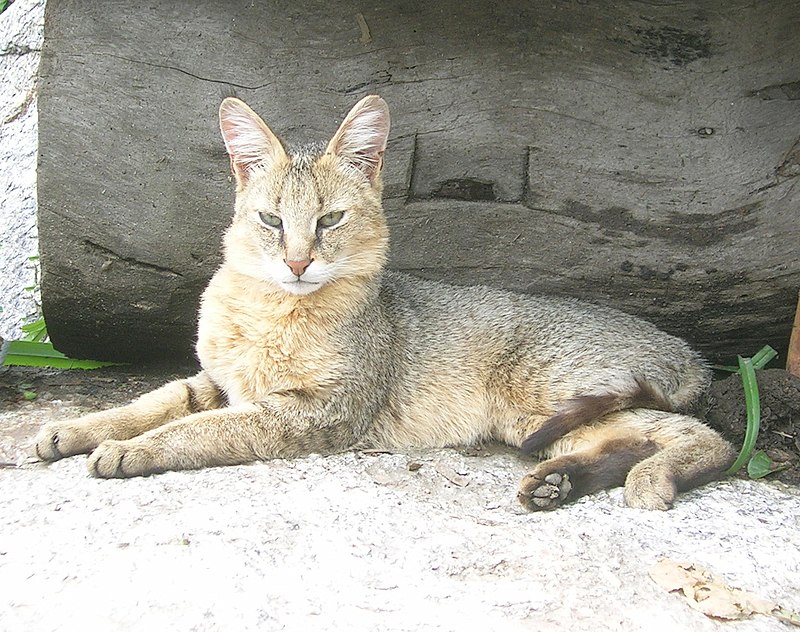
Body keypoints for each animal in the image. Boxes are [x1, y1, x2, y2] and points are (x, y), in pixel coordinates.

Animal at [34, 96, 736, 512]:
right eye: (270, 220)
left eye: (330, 220)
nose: (297, 263)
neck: (269, 314)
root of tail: (687, 351)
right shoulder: (218, 381)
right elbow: (150, 403)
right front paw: (81, 429)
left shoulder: (312, 411)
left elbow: (198, 429)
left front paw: (130, 451)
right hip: (548, 420)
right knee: (639, 439)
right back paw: (559, 483)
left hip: (547, 397)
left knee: (710, 439)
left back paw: (649, 479)